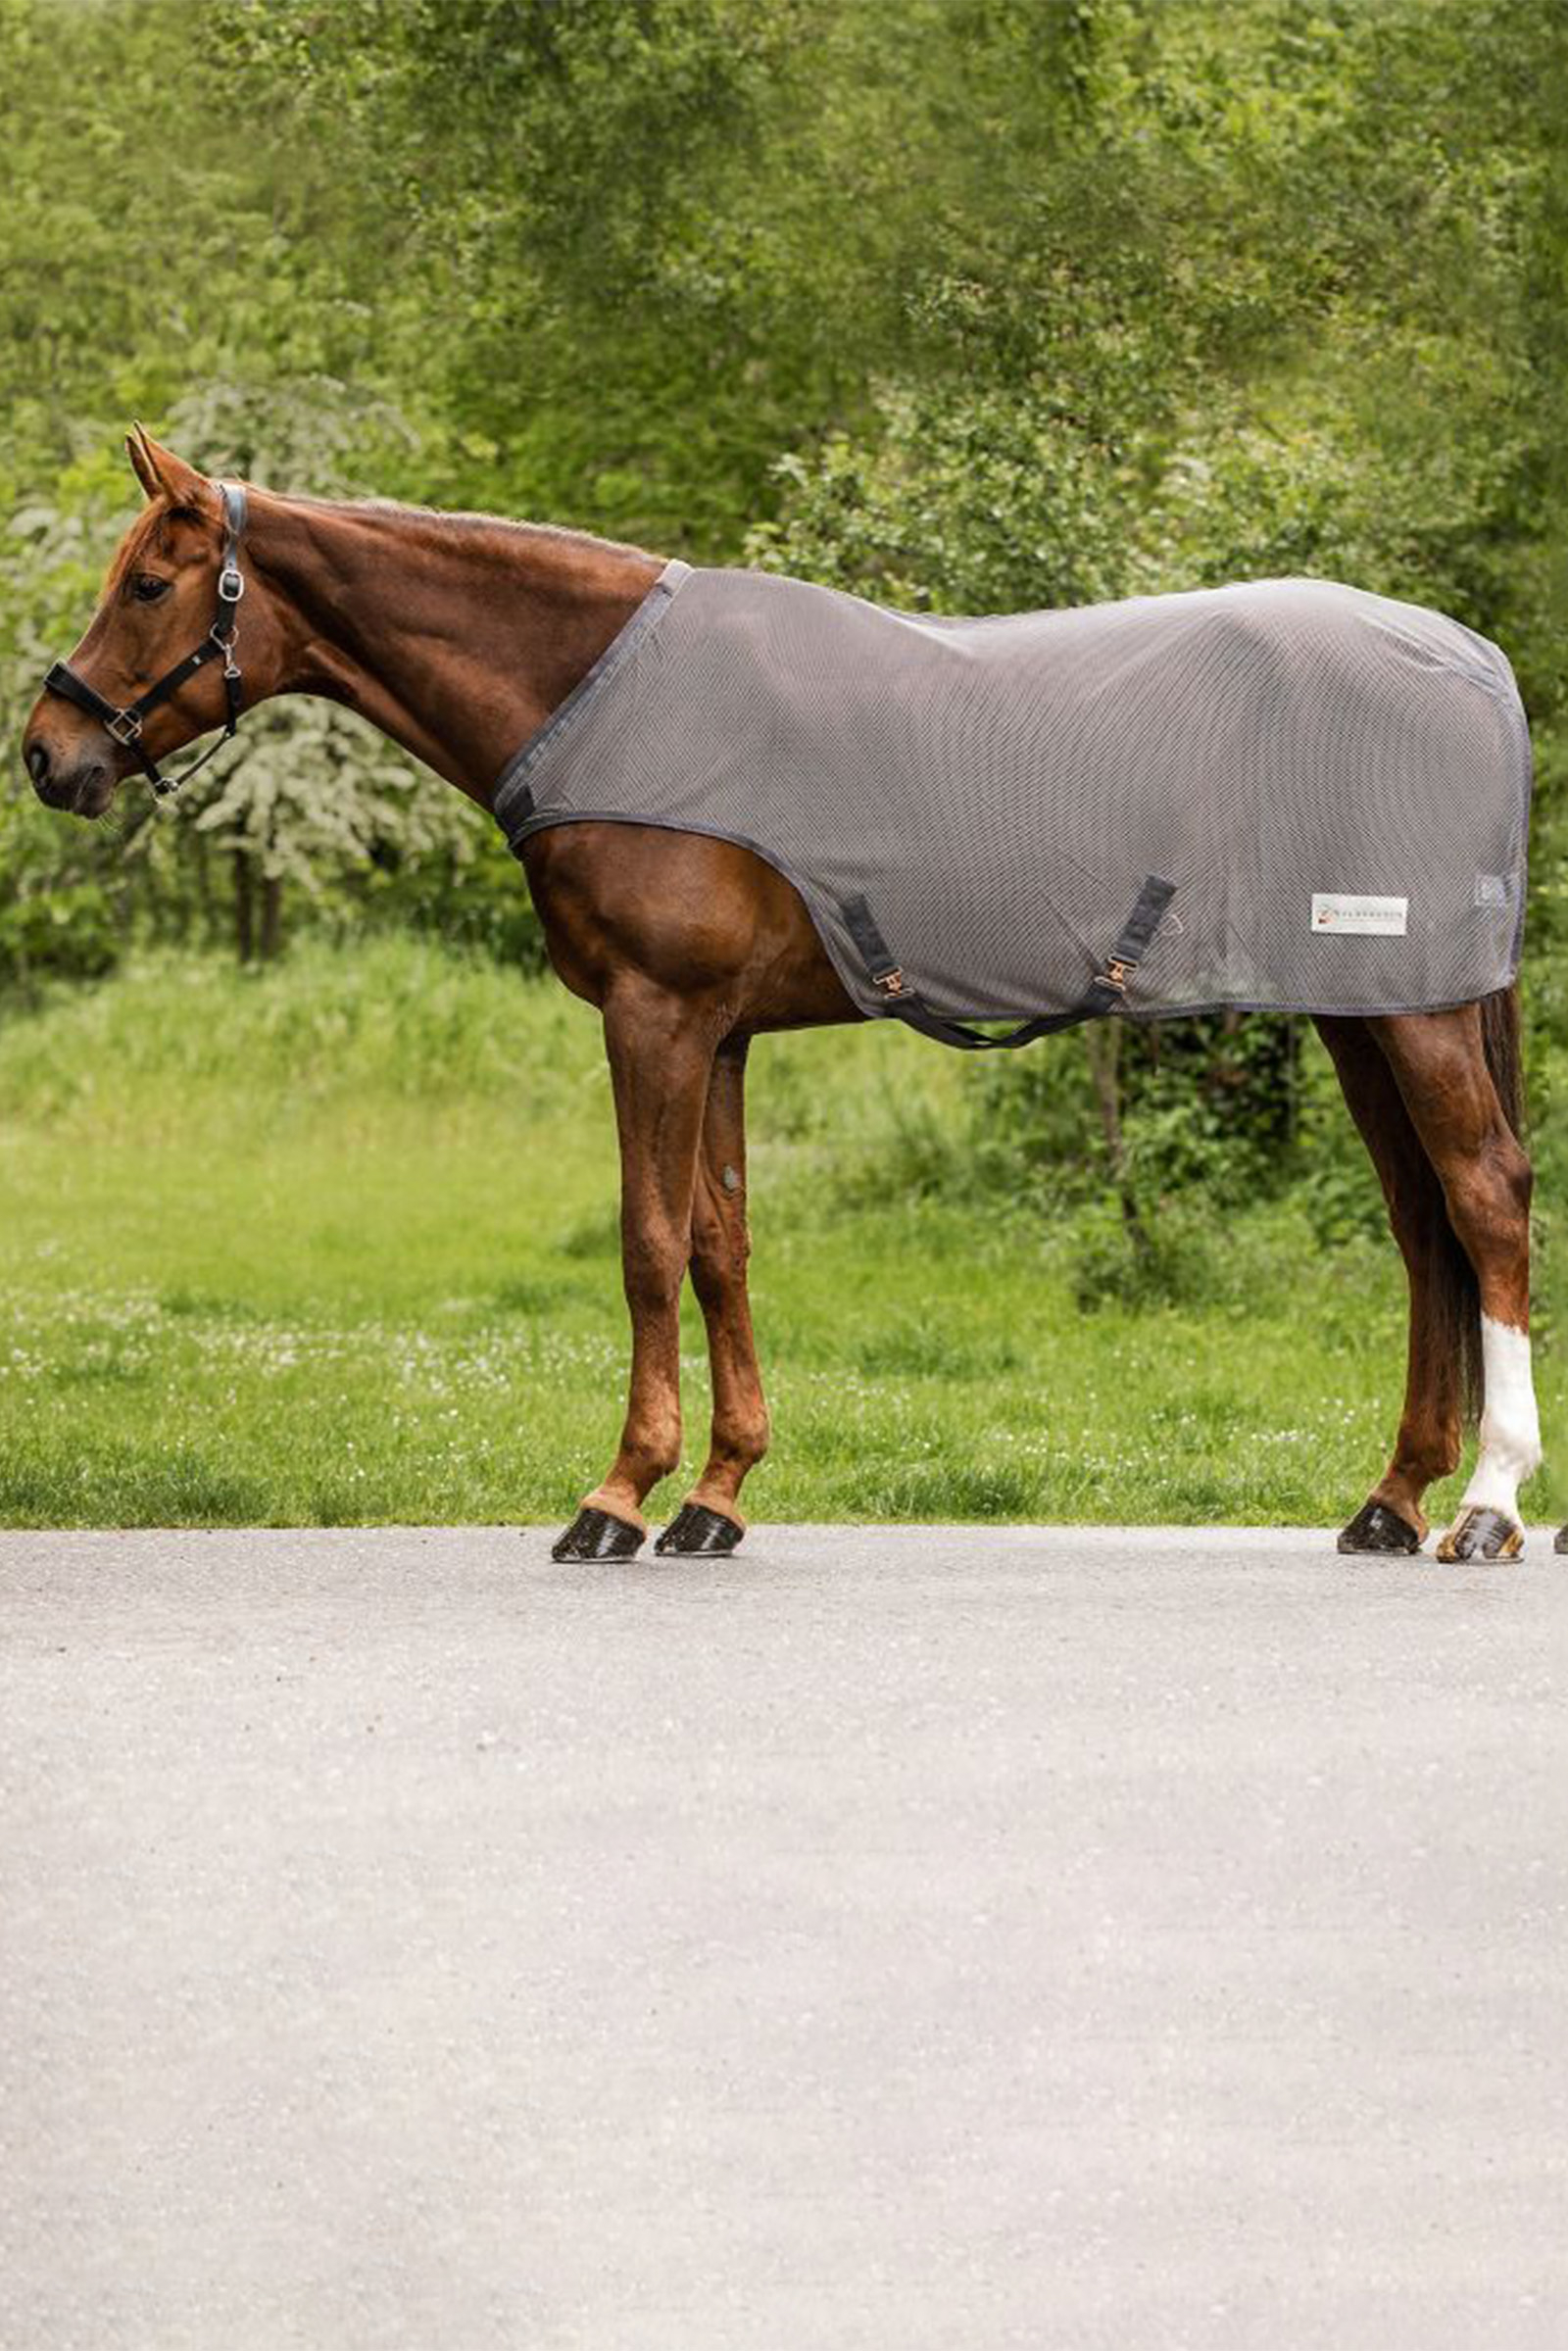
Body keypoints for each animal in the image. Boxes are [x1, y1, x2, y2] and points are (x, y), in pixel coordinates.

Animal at [20, 428, 1549, 1563]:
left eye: (148, 583)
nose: (46, 752)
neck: (596, 698)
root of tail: (1475, 660)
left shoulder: (654, 1017)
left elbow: (646, 1241)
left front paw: (617, 1494)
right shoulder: (721, 1032)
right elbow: (721, 1242)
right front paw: (716, 1494)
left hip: (1411, 1012)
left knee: (1482, 1199)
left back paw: (1485, 1504)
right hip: (1361, 1010)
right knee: (1422, 1229)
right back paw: (1391, 1499)